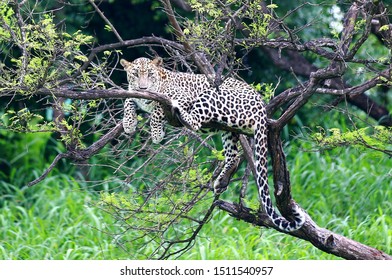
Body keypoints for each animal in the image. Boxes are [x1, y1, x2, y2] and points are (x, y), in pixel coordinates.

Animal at [121, 57, 304, 232]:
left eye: (150, 74)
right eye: (135, 74)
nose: (143, 88)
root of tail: (261, 107)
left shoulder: (180, 95)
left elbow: (158, 107)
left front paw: (157, 132)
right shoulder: (133, 94)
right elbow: (128, 99)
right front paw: (128, 123)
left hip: (210, 95)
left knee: (194, 122)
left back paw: (180, 112)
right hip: (229, 130)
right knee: (233, 156)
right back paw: (222, 181)